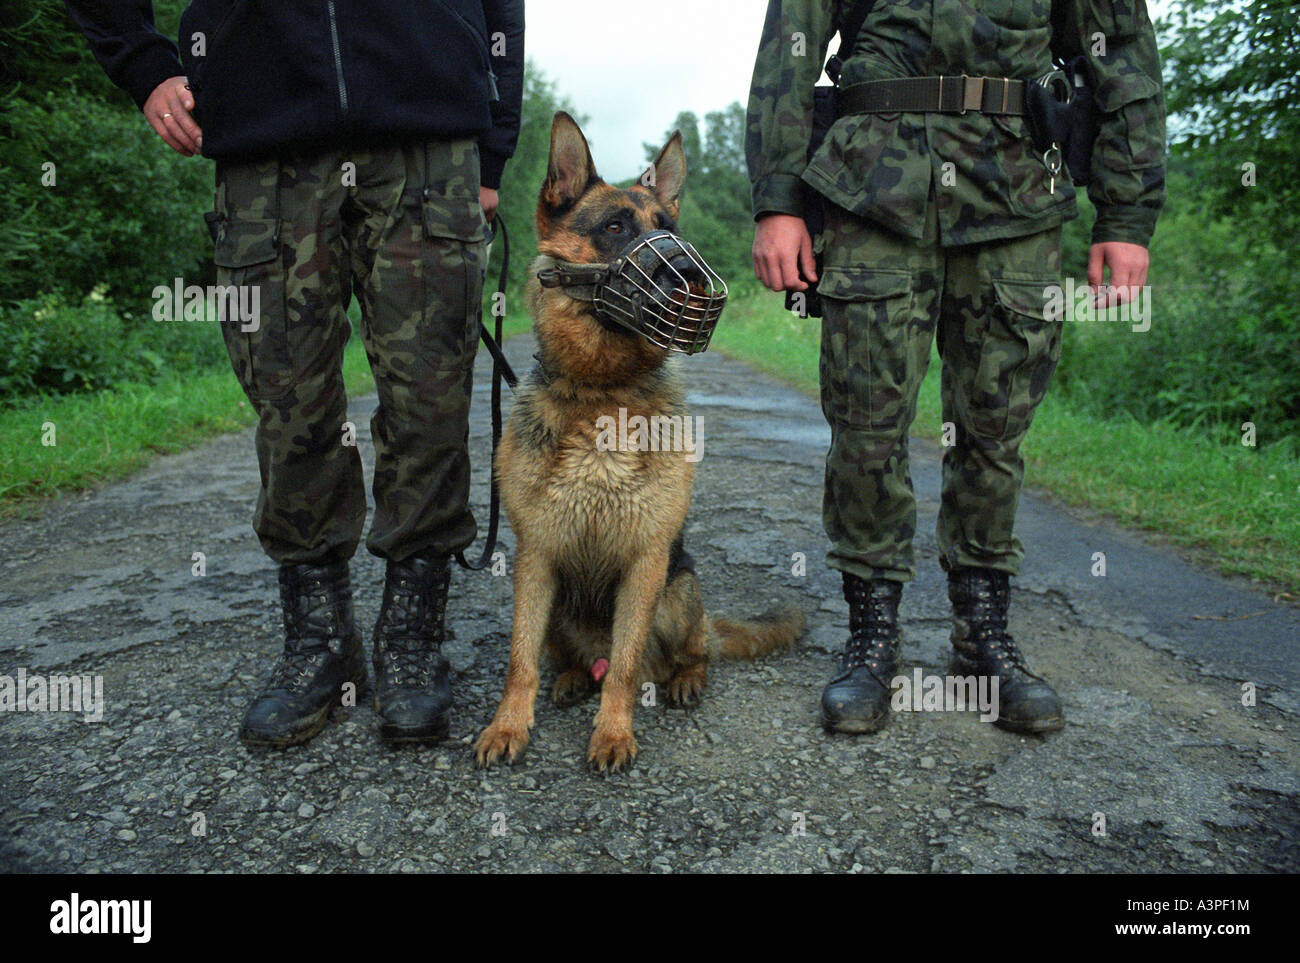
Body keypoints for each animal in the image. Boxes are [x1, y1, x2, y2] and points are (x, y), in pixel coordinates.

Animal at [478, 114, 800, 774]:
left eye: (669, 230)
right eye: (615, 227)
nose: (693, 277)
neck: (604, 395)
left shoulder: (647, 563)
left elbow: (625, 668)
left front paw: (612, 734)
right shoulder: (535, 558)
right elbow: (519, 660)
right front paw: (509, 727)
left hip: (678, 596)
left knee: (689, 654)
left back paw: (684, 680)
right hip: (559, 606)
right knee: (567, 658)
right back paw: (574, 677)